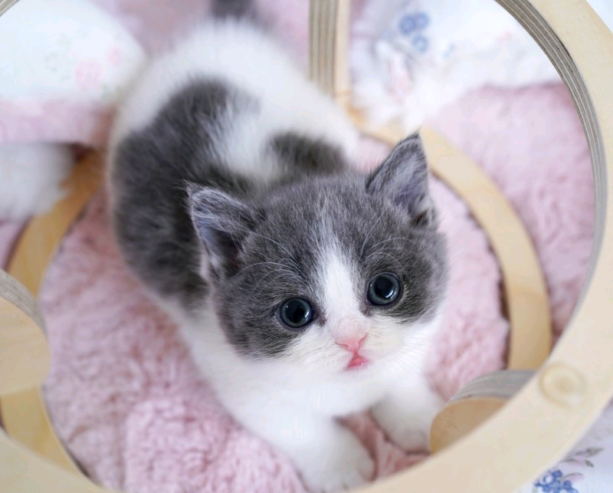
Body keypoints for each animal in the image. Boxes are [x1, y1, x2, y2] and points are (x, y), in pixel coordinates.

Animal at [107, 8, 448, 492]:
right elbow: (297, 426)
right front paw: (340, 466)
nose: (353, 340)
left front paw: (417, 416)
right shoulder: (235, 372)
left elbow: (401, 373)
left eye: (385, 289)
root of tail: (218, 30)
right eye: (295, 312)